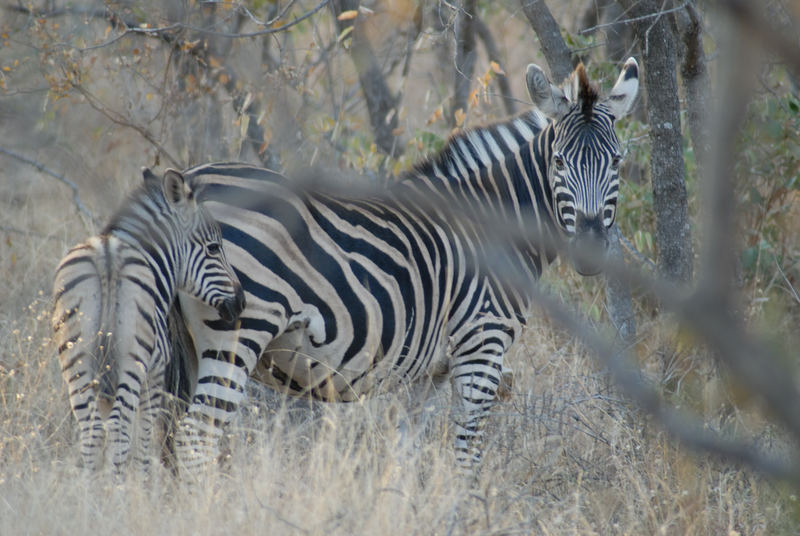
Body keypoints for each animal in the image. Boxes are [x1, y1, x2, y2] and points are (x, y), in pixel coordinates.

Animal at [51, 169, 244, 474]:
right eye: (214, 248)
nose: (241, 302)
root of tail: (107, 254)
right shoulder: (156, 371)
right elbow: (143, 440)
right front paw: (142, 480)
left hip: (75, 356)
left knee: (92, 428)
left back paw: (90, 486)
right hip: (133, 360)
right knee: (120, 426)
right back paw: (118, 486)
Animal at [172, 58, 640, 476]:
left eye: (617, 161)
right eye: (559, 162)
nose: (591, 250)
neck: (496, 221)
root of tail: (186, 182)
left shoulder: (426, 375)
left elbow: (404, 459)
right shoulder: (481, 347)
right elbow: (466, 461)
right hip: (240, 329)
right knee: (197, 439)